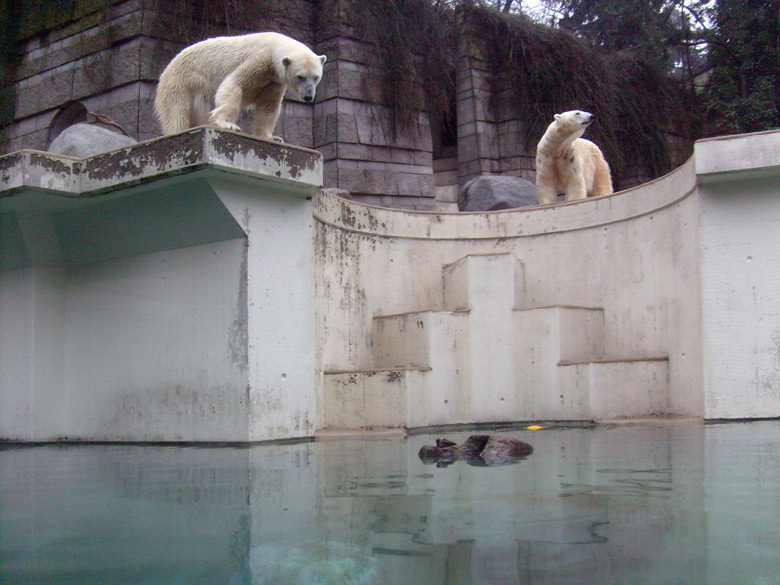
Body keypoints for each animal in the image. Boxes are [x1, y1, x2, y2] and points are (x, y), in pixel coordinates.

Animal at [155, 32, 326, 140]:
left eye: (316, 77)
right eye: (300, 77)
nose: (308, 96)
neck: (273, 46)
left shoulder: (273, 81)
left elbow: (268, 107)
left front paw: (272, 137)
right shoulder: (258, 61)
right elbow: (233, 83)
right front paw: (228, 125)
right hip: (181, 82)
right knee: (176, 112)